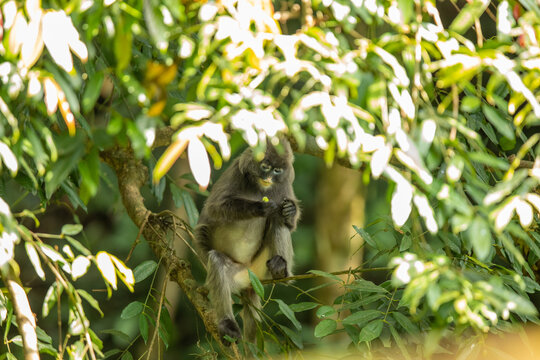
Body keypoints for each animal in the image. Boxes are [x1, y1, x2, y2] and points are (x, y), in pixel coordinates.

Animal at [195, 138, 300, 344]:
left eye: (277, 171)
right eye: (265, 166)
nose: (269, 177)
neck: (260, 188)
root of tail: (250, 273)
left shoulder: (283, 185)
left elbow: (288, 221)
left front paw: (290, 211)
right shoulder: (236, 172)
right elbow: (213, 210)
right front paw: (259, 207)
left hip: (263, 267)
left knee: (277, 218)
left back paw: (281, 270)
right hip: (236, 275)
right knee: (216, 261)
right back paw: (227, 324)